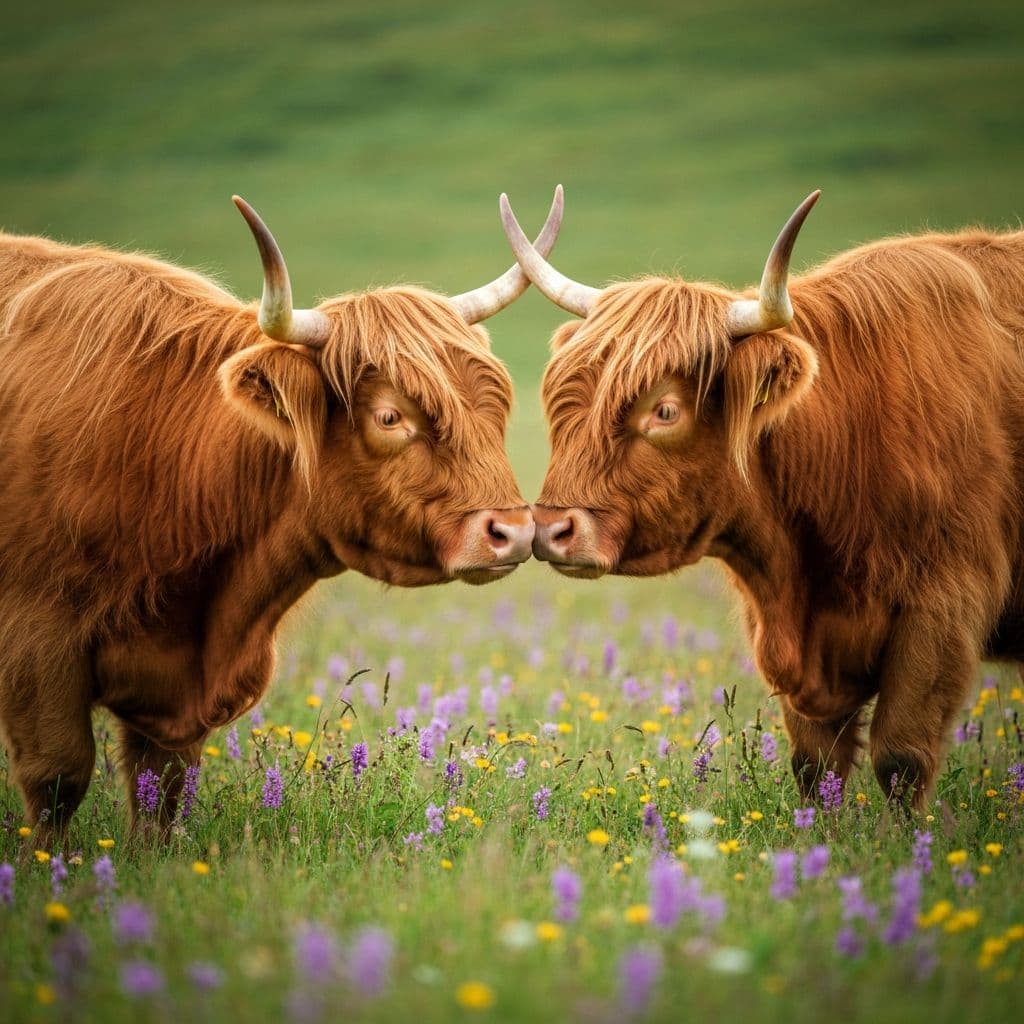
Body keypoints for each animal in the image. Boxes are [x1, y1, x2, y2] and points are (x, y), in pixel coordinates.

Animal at [0, 189, 562, 839]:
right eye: (390, 416)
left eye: (494, 405)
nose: (514, 532)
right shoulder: (37, 642)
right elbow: (57, 779)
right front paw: (49, 862)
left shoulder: (171, 704)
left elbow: (160, 794)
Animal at [500, 188, 1024, 810]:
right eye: (565, 400)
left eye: (665, 410)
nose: (552, 530)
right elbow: (815, 765)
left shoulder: (944, 603)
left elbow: (901, 758)